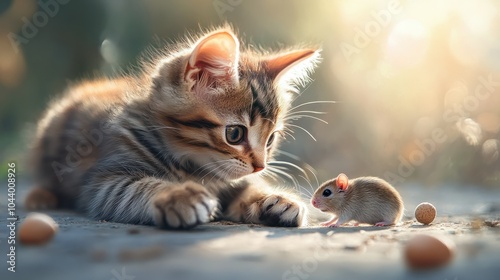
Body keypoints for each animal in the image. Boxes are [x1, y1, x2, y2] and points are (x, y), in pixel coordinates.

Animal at [25, 25, 320, 228]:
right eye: (234, 134)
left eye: (270, 139)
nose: (260, 166)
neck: (195, 168)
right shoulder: (104, 180)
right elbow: (138, 188)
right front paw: (177, 195)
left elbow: (247, 188)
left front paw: (276, 199)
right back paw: (40, 195)